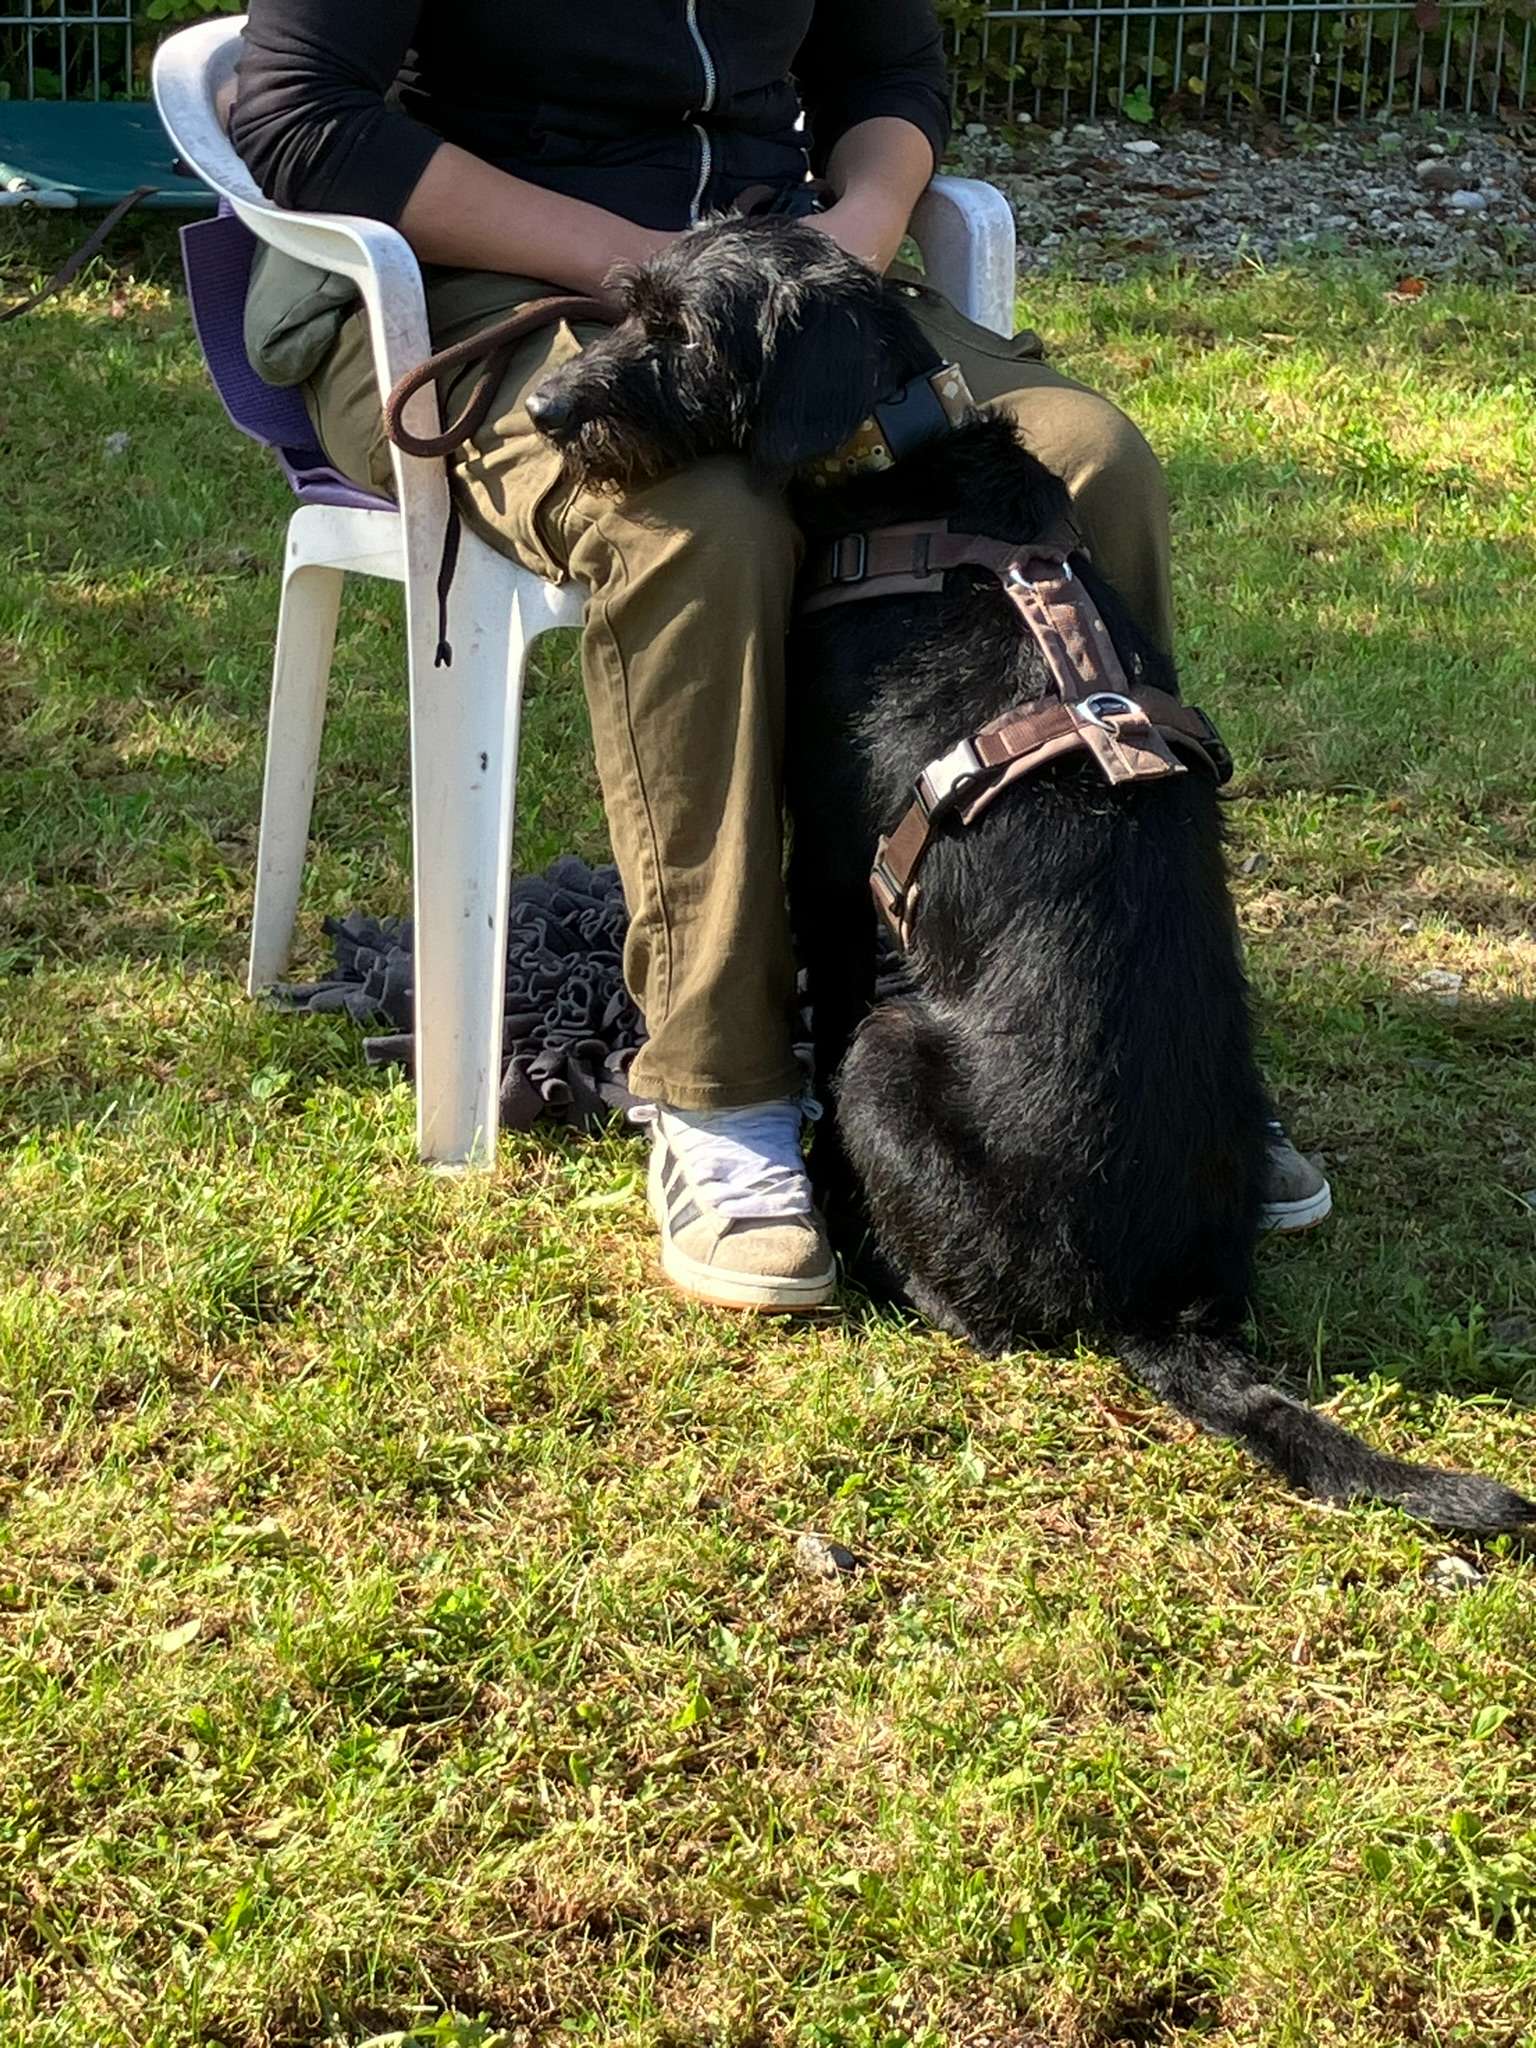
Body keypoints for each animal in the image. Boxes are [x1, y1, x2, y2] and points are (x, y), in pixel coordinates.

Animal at [529, 216, 1533, 1534]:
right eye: (629, 298)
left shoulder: (828, 872)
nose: (542, 407)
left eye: (679, 329)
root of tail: (1159, 1304)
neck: (909, 462)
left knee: (982, 1310)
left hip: (888, 1057)